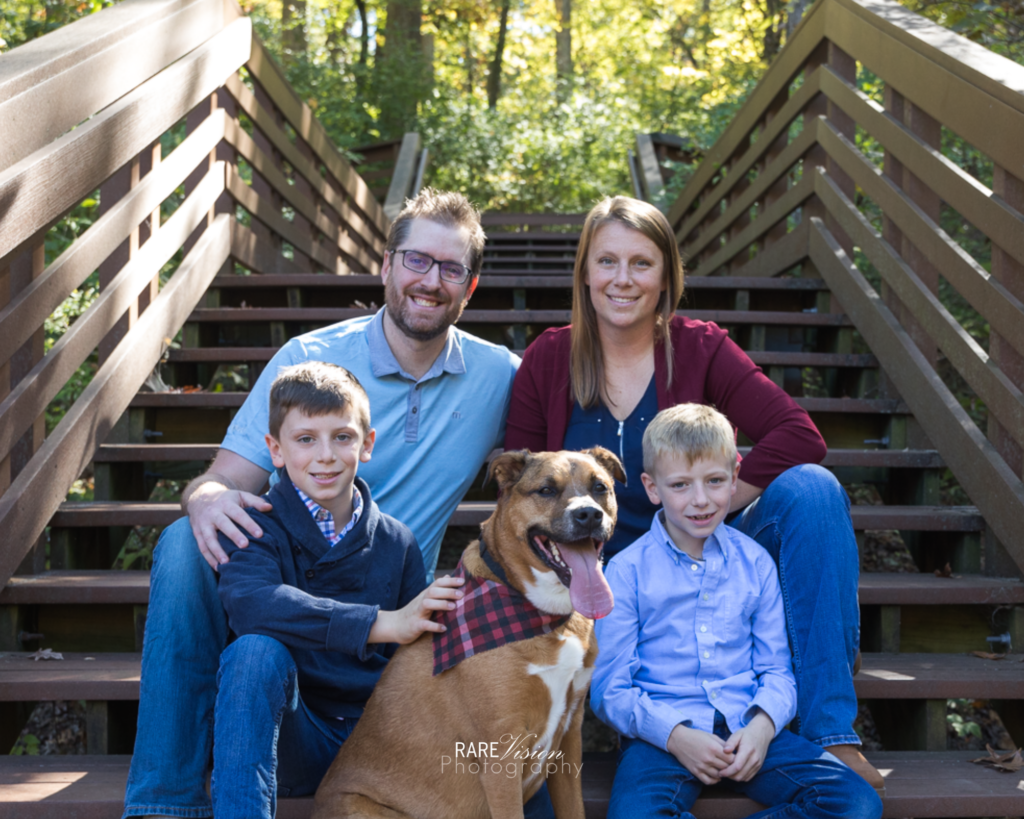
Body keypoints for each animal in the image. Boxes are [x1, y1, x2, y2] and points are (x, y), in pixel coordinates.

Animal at [309, 448, 622, 818]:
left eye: (600, 487)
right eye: (546, 490)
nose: (589, 514)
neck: (542, 610)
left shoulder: (570, 737)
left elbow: (574, 807)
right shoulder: (501, 754)